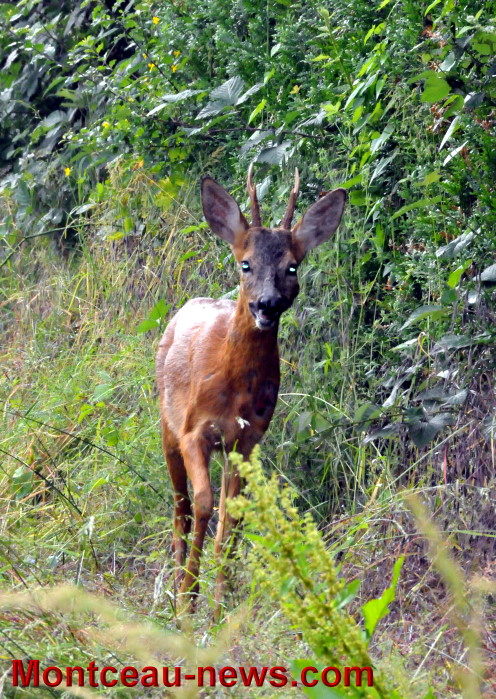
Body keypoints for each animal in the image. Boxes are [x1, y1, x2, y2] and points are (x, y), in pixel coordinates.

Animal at [156, 165, 346, 616]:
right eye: (245, 264)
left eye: (292, 267)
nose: (267, 304)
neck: (235, 392)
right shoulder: (194, 431)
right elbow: (204, 504)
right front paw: (188, 601)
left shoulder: (248, 439)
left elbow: (233, 518)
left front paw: (220, 603)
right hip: (166, 424)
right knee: (180, 506)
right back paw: (175, 583)